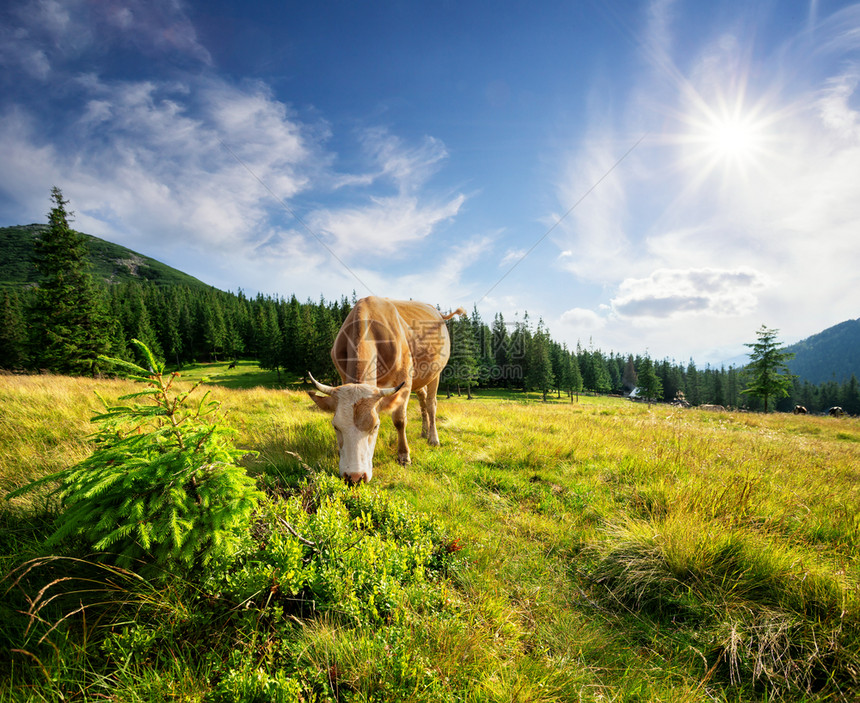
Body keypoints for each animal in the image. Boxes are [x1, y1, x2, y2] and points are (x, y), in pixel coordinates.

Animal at [310, 296, 466, 484]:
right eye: (335, 426)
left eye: (375, 426)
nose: (355, 477)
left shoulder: (404, 381)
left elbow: (399, 420)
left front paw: (404, 456)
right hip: (420, 379)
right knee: (422, 400)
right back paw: (424, 432)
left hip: (435, 372)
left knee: (431, 404)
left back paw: (433, 438)